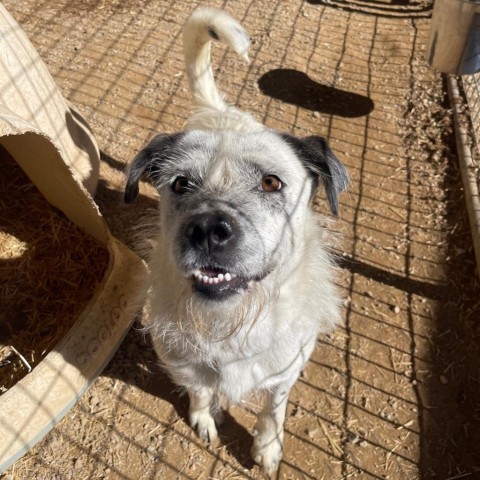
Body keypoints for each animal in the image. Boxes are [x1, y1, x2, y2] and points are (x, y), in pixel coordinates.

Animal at [125, 6, 346, 472]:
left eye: (271, 182)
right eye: (181, 183)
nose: (208, 229)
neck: (228, 323)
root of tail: (219, 111)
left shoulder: (286, 370)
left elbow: (273, 408)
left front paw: (266, 447)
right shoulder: (180, 360)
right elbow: (200, 390)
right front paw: (204, 418)